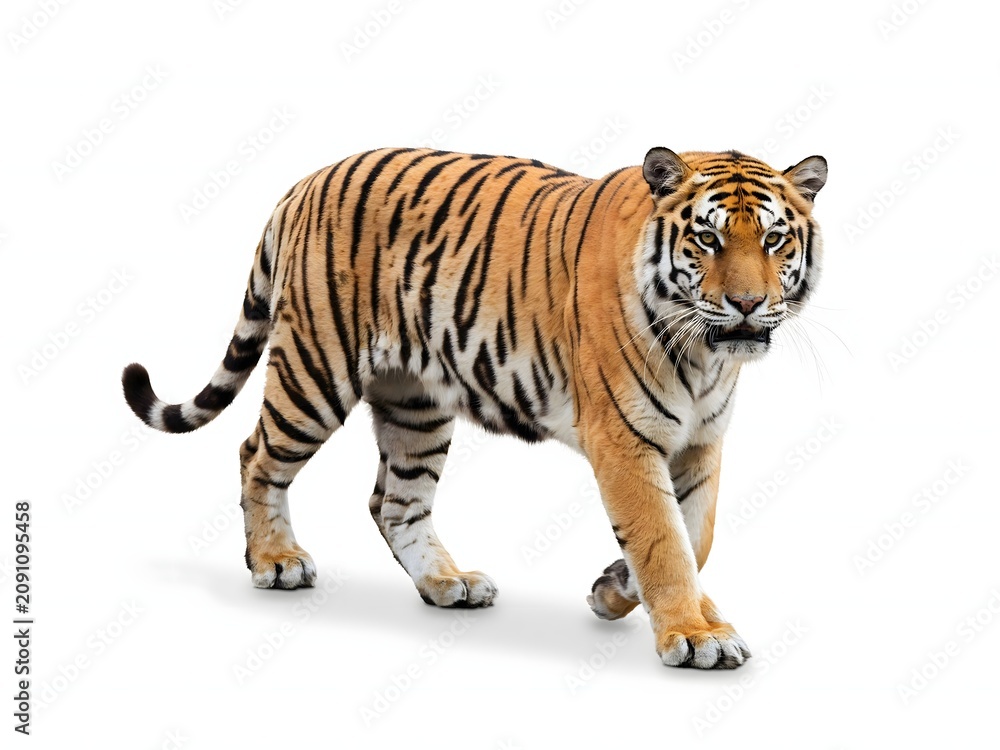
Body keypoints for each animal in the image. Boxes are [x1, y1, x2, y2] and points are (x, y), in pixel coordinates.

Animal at [122, 145, 827, 670]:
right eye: (706, 239)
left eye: (774, 241)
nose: (746, 305)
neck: (707, 356)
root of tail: (306, 181)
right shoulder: (625, 438)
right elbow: (664, 539)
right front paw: (696, 636)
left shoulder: (702, 439)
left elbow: (696, 535)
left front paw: (614, 590)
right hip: (315, 369)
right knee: (257, 456)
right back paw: (276, 562)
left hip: (416, 405)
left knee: (393, 502)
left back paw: (447, 583)